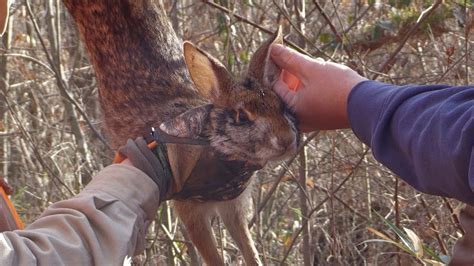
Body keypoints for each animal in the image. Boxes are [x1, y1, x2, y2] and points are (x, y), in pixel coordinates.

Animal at [63, 1, 298, 264]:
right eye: (242, 116)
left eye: (280, 105)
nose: (287, 140)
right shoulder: (190, 209)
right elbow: (211, 253)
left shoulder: (233, 206)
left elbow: (247, 246)